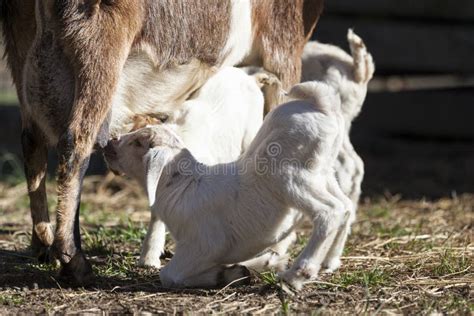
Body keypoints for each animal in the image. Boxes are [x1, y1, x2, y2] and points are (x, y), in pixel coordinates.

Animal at [105, 81, 354, 288]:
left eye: (138, 142)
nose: (109, 145)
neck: (182, 186)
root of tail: (321, 103)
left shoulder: (201, 244)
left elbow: (169, 275)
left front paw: (226, 274)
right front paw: (252, 266)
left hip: (290, 177)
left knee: (329, 211)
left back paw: (298, 274)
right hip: (322, 173)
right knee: (346, 206)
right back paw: (330, 261)